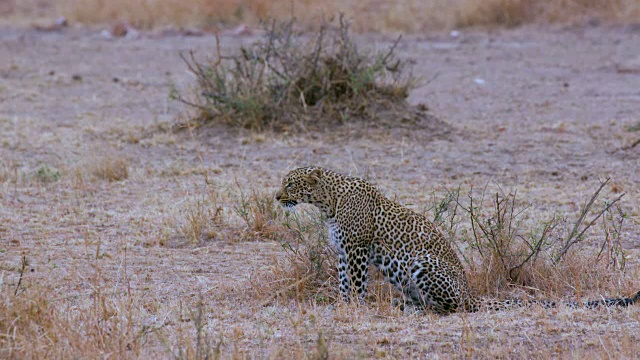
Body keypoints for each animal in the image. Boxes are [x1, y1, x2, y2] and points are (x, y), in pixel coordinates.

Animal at [276, 167, 640, 314]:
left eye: (291, 184)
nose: (278, 196)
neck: (328, 202)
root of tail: (472, 294)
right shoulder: (342, 252)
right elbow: (342, 282)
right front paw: (341, 305)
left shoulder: (356, 250)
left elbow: (355, 283)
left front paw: (353, 307)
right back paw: (405, 305)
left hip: (423, 262)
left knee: (453, 308)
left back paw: (415, 308)